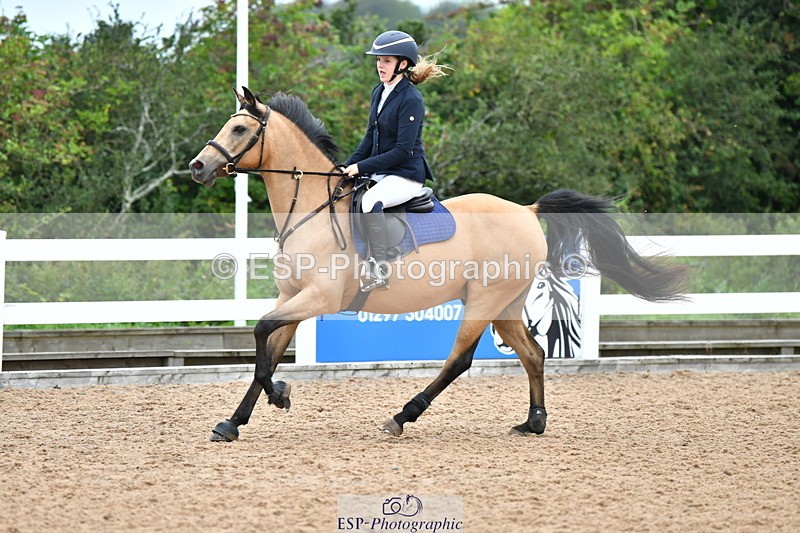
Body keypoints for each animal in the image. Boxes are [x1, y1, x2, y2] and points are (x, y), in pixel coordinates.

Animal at [189, 87, 686, 442]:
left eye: (239, 130)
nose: (197, 167)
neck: (310, 207)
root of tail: (527, 210)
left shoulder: (318, 297)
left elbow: (260, 337)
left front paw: (276, 396)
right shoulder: (293, 296)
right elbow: (268, 351)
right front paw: (238, 419)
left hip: (484, 301)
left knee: (460, 359)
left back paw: (402, 416)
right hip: (505, 306)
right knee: (533, 353)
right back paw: (533, 423)